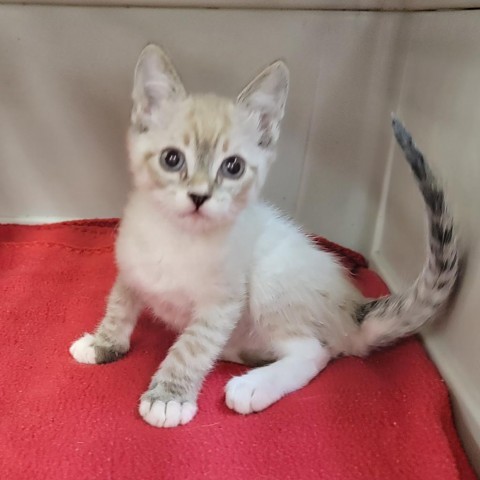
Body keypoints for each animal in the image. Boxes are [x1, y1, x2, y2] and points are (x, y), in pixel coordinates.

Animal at [69, 45, 460, 428]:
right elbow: (119, 305)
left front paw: (168, 398)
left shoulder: (222, 303)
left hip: (271, 280)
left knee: (315, 351)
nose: (199, 197)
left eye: (233, 167)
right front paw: (103, 343)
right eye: (171, 159)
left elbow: (191, 347)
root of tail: (352, 306)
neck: (175, 236)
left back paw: (254, 385)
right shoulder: (131, 267)